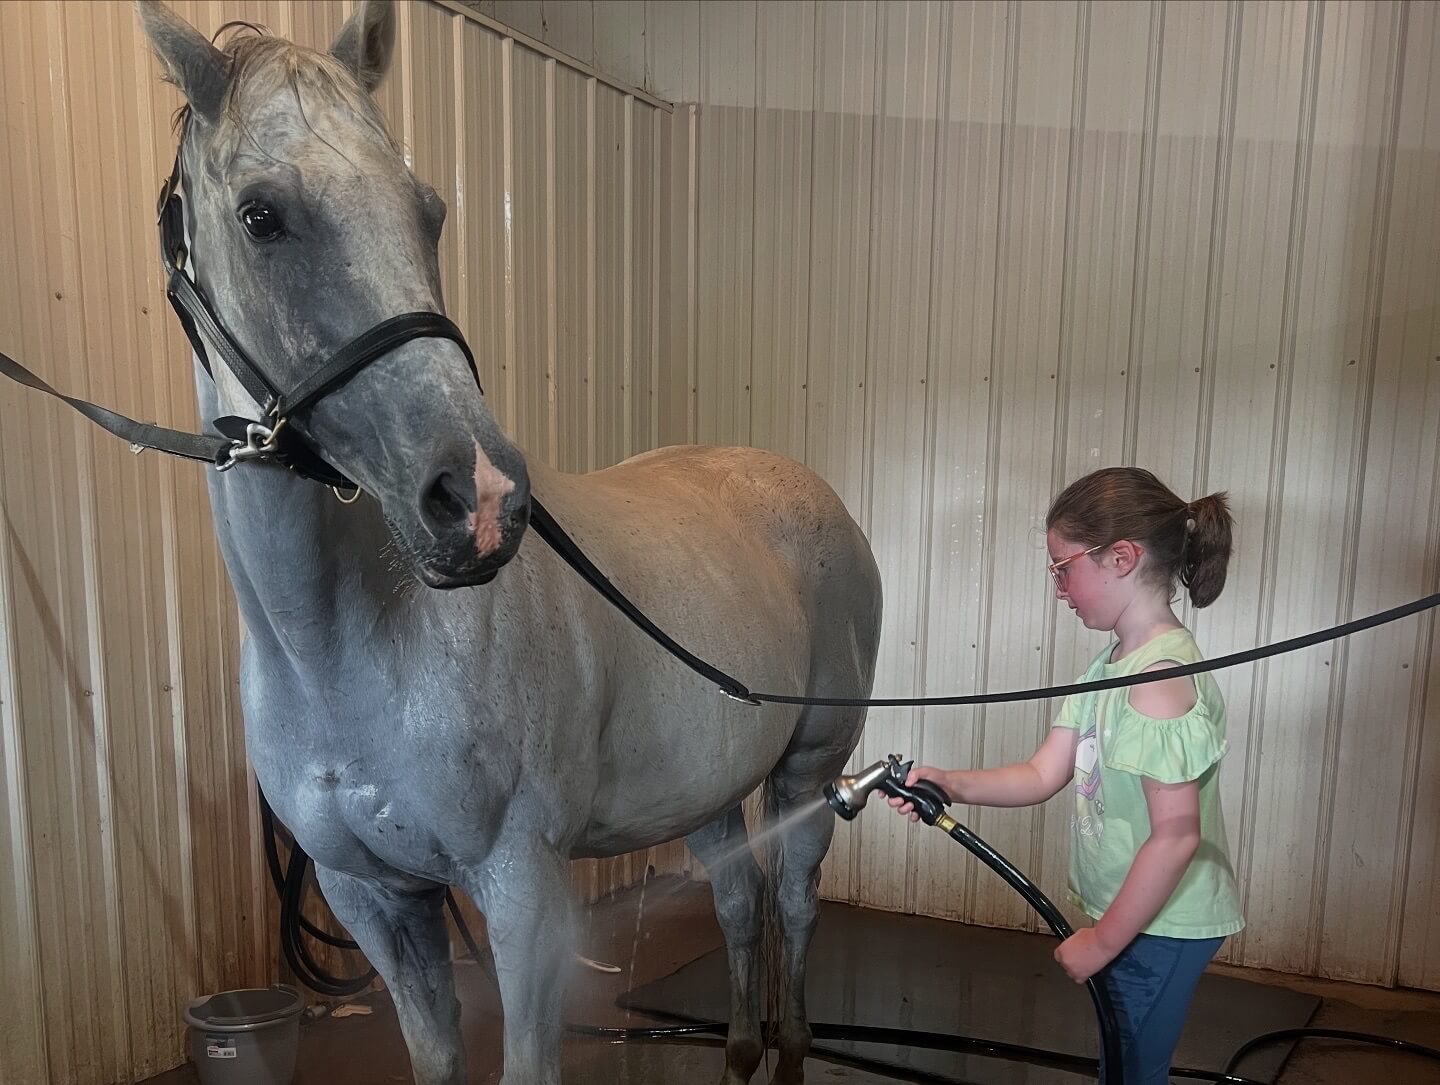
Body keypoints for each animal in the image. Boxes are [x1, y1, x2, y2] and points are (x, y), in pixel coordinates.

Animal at [135, 2, 882, 1082]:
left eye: (429, 209)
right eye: (261, 215)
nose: (478, 498)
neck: (359, 645)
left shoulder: (523, 892)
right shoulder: (375, 900)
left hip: (809, 776)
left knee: (792, 903)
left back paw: (789, 1045)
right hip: (705, 789)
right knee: (742, 904)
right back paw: (740, 1047)